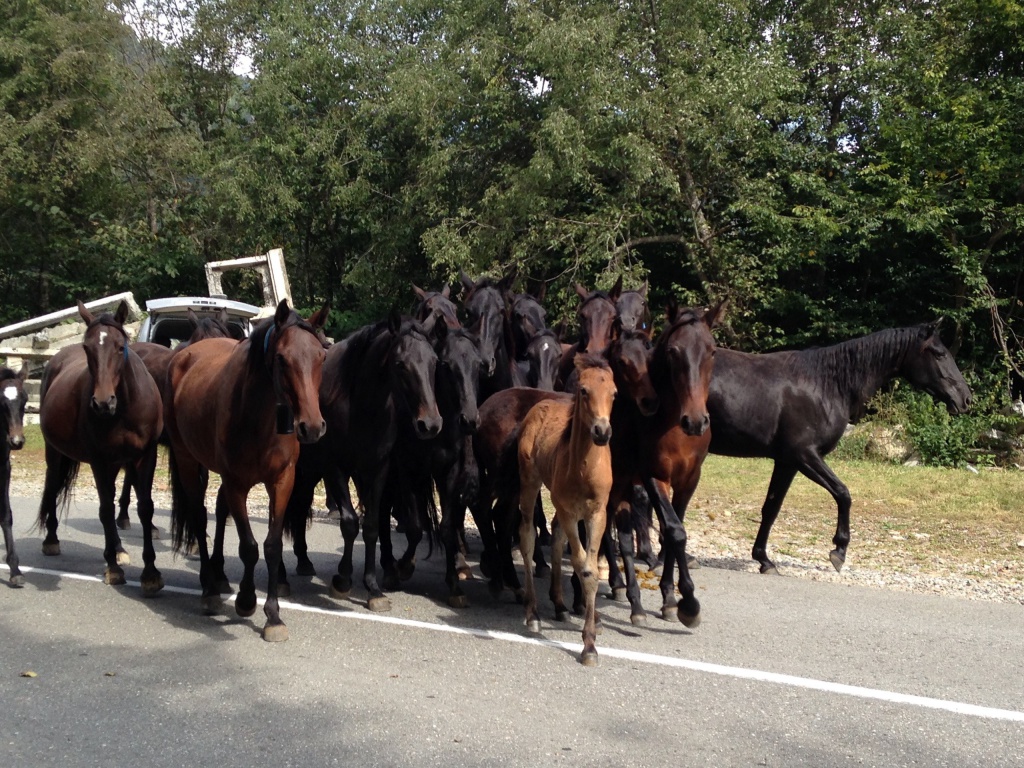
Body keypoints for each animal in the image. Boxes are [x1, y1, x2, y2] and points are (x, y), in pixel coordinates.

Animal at [37, 301, 163, 593]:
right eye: (87, 348)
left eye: (119, 346)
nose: (103, 403)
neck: (125, 408)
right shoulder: (98, 460)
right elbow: (105, 509)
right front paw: (113, 569)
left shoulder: (144, 456)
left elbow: (145, 508)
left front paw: (150, 573)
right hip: (55, 453)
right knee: (53, 485)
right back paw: (51, 540)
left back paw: (118, 548)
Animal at [164, 301, 323, 643]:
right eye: (282, 358)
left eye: (321, 355)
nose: (312, 426)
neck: (257, 416)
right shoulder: (236, 483)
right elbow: (249, 547)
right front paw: (247, 600)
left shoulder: (282, 481)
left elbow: (272, 546)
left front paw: (273, 615)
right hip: (187, 460)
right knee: (199, 517)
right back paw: (209, 588)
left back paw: (219, 576)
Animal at [520, 354, 614, 667]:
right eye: (583, 390)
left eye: (614, 393)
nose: (602, 432)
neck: (584, 469)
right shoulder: (571, 512)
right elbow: (582, 564)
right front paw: (588, 646)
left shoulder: (598, 513)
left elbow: (591, 568)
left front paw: (592, 630)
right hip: (530, 482)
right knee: (528, 537)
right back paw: (533, 614)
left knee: (556, 534)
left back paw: (560, 606)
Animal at [708, 321, 970, 573]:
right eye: (939, 354)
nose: (966, 398)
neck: (825, 384)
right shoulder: (803, 455)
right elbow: (843, 494)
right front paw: (839, 550)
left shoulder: (786, 462)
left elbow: (772, 508)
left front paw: (764, 559)